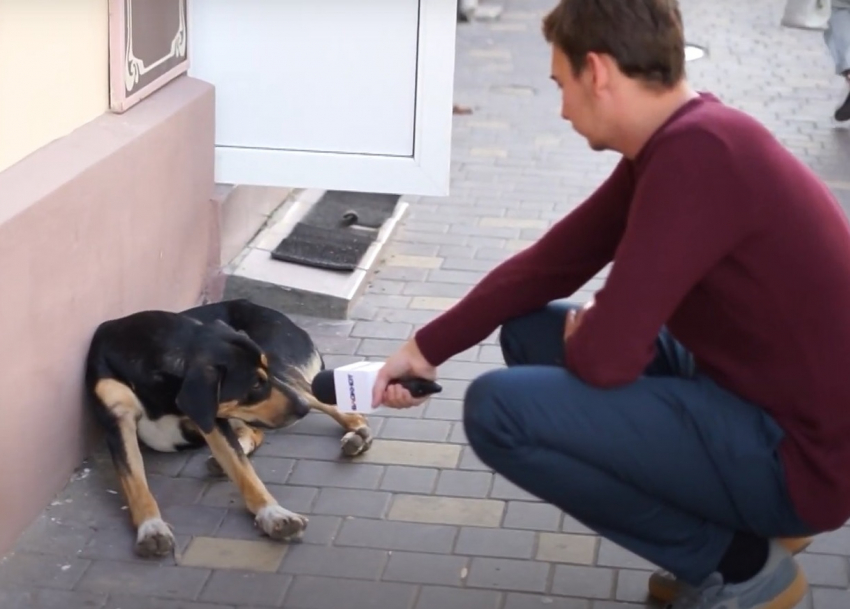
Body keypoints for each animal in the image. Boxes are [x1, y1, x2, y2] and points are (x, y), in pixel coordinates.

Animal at [84, 296, 372, 560]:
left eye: (262, 378)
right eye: (254, 384)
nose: (301, 409)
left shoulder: (212, 414)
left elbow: (245, 473)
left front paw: (274, 514)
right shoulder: (119, 421)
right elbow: (136, 483)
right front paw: (152, 528)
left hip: (285, 373)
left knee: (333, 405)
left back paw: (357, 434)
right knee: (255, 432)